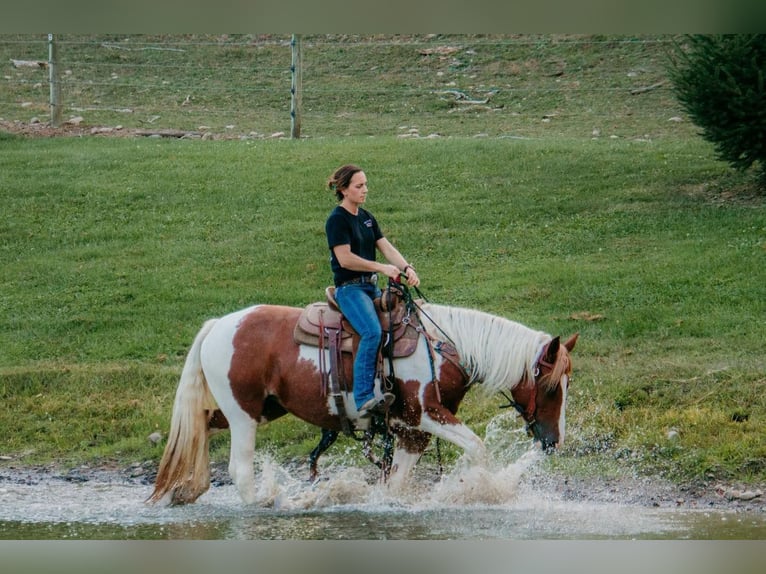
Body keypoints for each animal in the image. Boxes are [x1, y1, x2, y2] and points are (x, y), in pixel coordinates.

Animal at [148, 296, 578, 506]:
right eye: (551, 387)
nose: (553, 442)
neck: (444, 348)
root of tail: (219, 325)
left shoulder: (411, 431)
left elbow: (398, 481)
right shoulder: (424, 414)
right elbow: (477, 447)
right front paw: (476, 488)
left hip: (258, 409)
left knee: (200, 426)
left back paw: (185, 489)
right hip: (244, 415)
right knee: (239, 469)